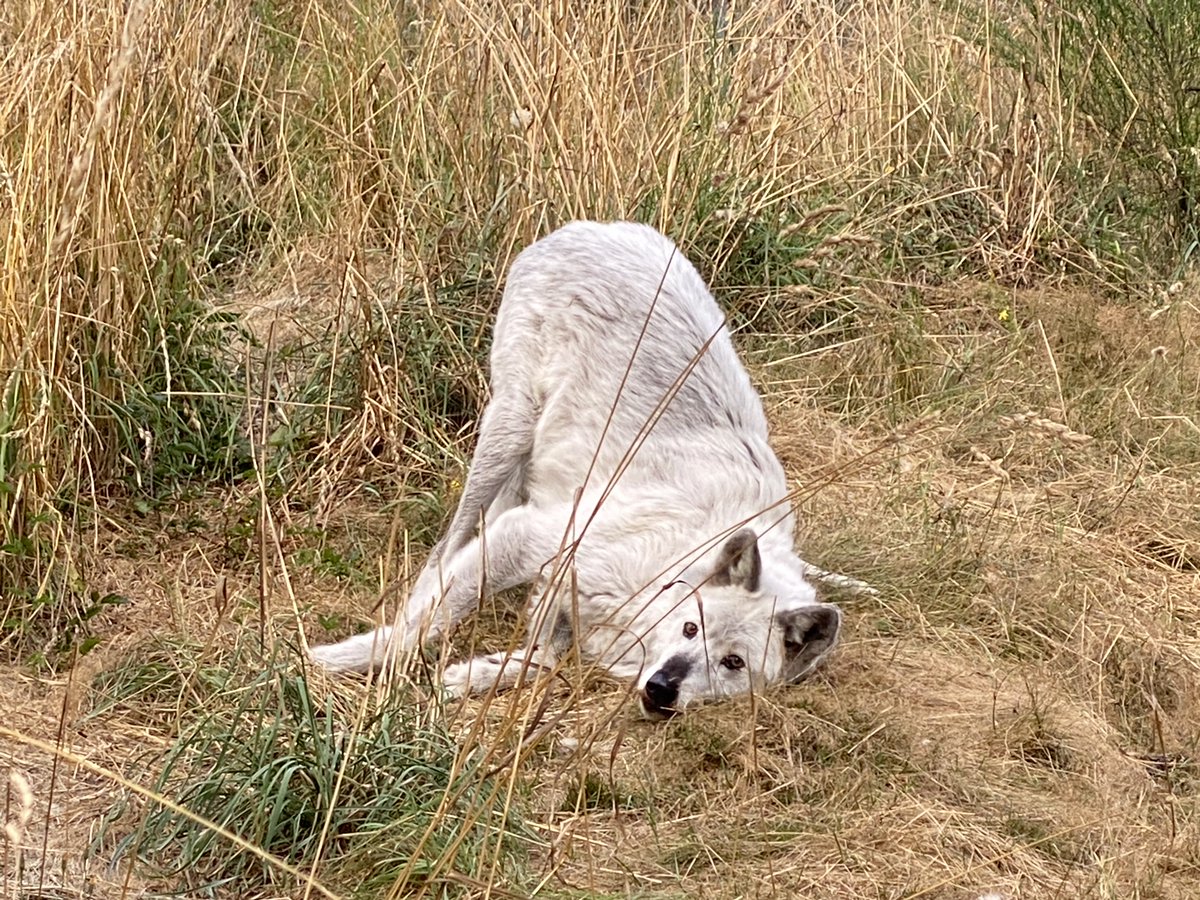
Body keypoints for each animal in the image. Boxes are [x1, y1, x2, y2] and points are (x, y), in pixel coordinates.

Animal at [309, 220, 846, 718]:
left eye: (733, 662)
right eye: (691, 627)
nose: (661, 688)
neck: (671, 563)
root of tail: (599, 226)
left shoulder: (558, 582)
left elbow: (543, 658)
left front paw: (472, 675)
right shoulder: (530, 540)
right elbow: (421, 629)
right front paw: (331, 660)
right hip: (507, 432)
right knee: (446, 548)